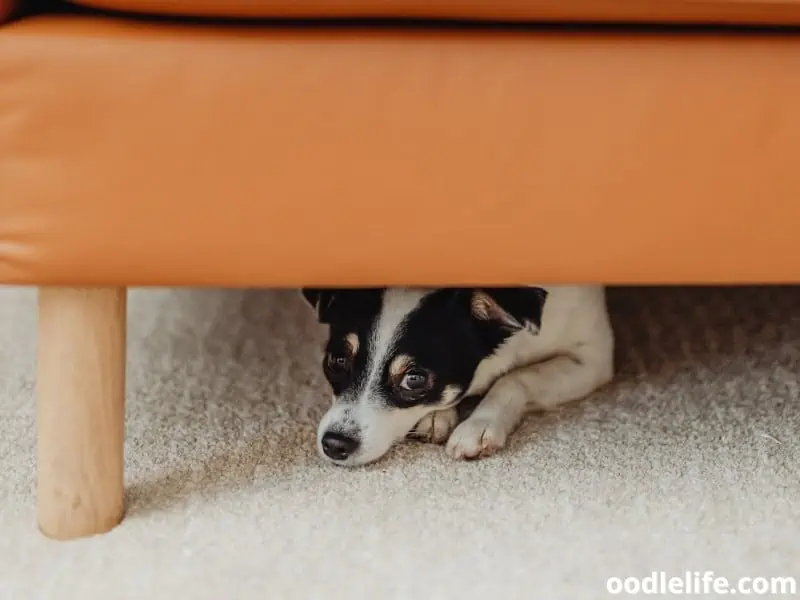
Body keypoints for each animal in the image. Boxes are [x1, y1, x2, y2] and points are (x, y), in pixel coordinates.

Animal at [300, 284, 612, 466]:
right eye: (337, 361)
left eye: (414, 379)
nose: (334, 444)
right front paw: (437, 415)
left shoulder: (592, 358)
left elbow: (514, 378)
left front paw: (478, 425)